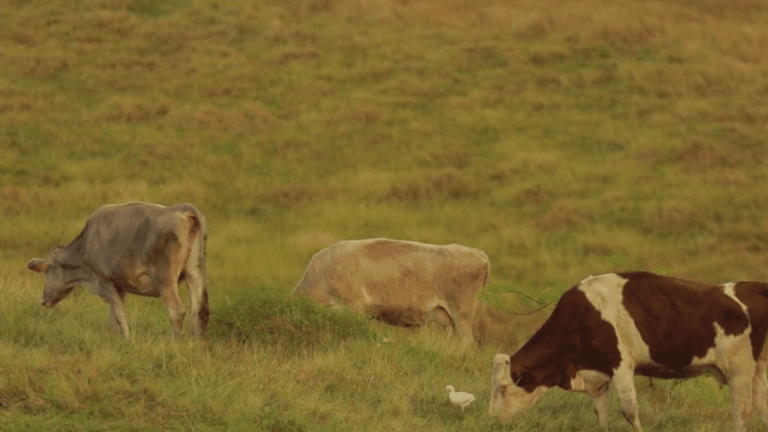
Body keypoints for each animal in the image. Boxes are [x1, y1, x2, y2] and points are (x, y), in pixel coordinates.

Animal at [27, 201, 208, 340]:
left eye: (46, 272)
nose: (42, 301)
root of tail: (185, 208)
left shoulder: (104, 279)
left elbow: (118, 313)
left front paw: (127, 339)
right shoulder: (120, 285)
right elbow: (114, 315)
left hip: (165, 278)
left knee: (177, 311)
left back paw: (172, 344)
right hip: (195, 273)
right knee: (198, 311)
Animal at [488, 272, 768, 430]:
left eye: (502, 387)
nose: (491, 420)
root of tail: (754, 286)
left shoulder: (620, 364)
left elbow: (629, 408)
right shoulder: (598, 374)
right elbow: (600, 411)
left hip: (739, 369)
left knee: (741, 411)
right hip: (759, 369)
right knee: (762, 405)